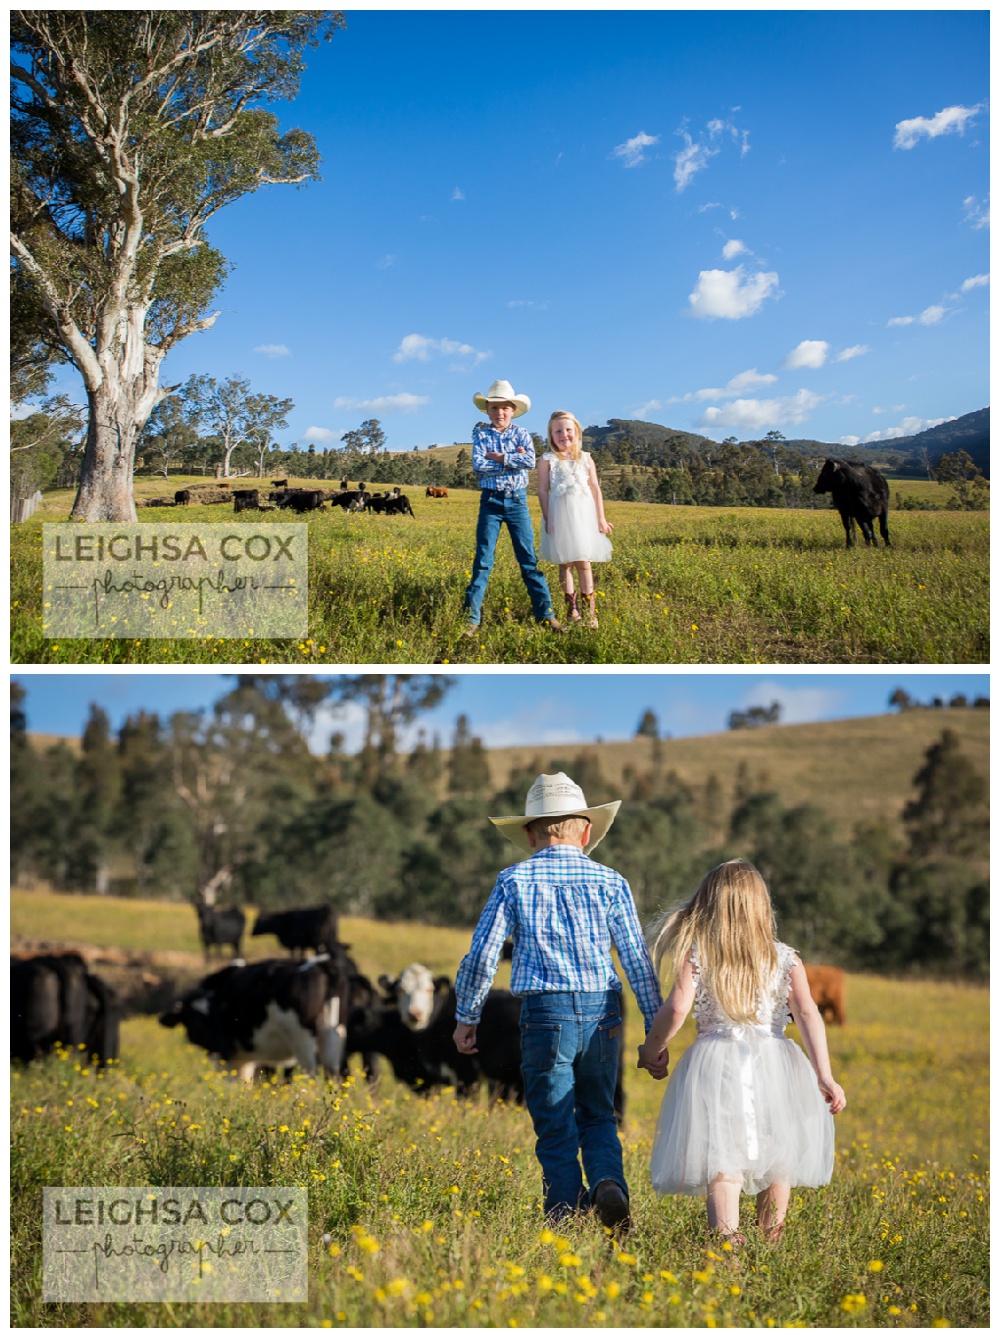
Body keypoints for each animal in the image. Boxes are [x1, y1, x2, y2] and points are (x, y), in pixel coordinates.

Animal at [158, 947, 353, 1081]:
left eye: (199, 1022)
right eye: (194, 1021)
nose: (222, 1046)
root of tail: (321, 964)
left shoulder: (229, 1058)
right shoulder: (244, 1058)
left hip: (303, 1039)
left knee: (311, 1074)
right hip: (334, 1036)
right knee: (332, 1075)